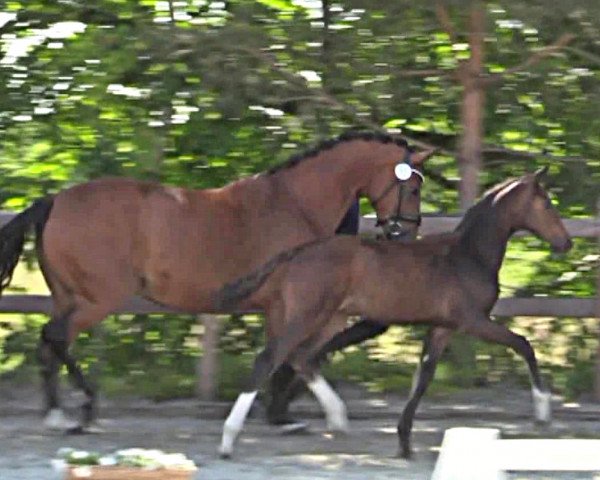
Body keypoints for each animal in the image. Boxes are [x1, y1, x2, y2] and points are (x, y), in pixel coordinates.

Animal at [217, 169, 572, 458]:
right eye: (546, 204)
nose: (565, 242)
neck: (468, 255)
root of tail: (297, 253)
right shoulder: (472, 321)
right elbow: (524, 344)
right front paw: (543, 412)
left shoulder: (442, 327)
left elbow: (423, 378)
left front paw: (404, 442)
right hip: (308, 315)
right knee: (270, 358)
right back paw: (228, 441)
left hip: (331, 318)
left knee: (302, 357)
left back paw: (337, 417)